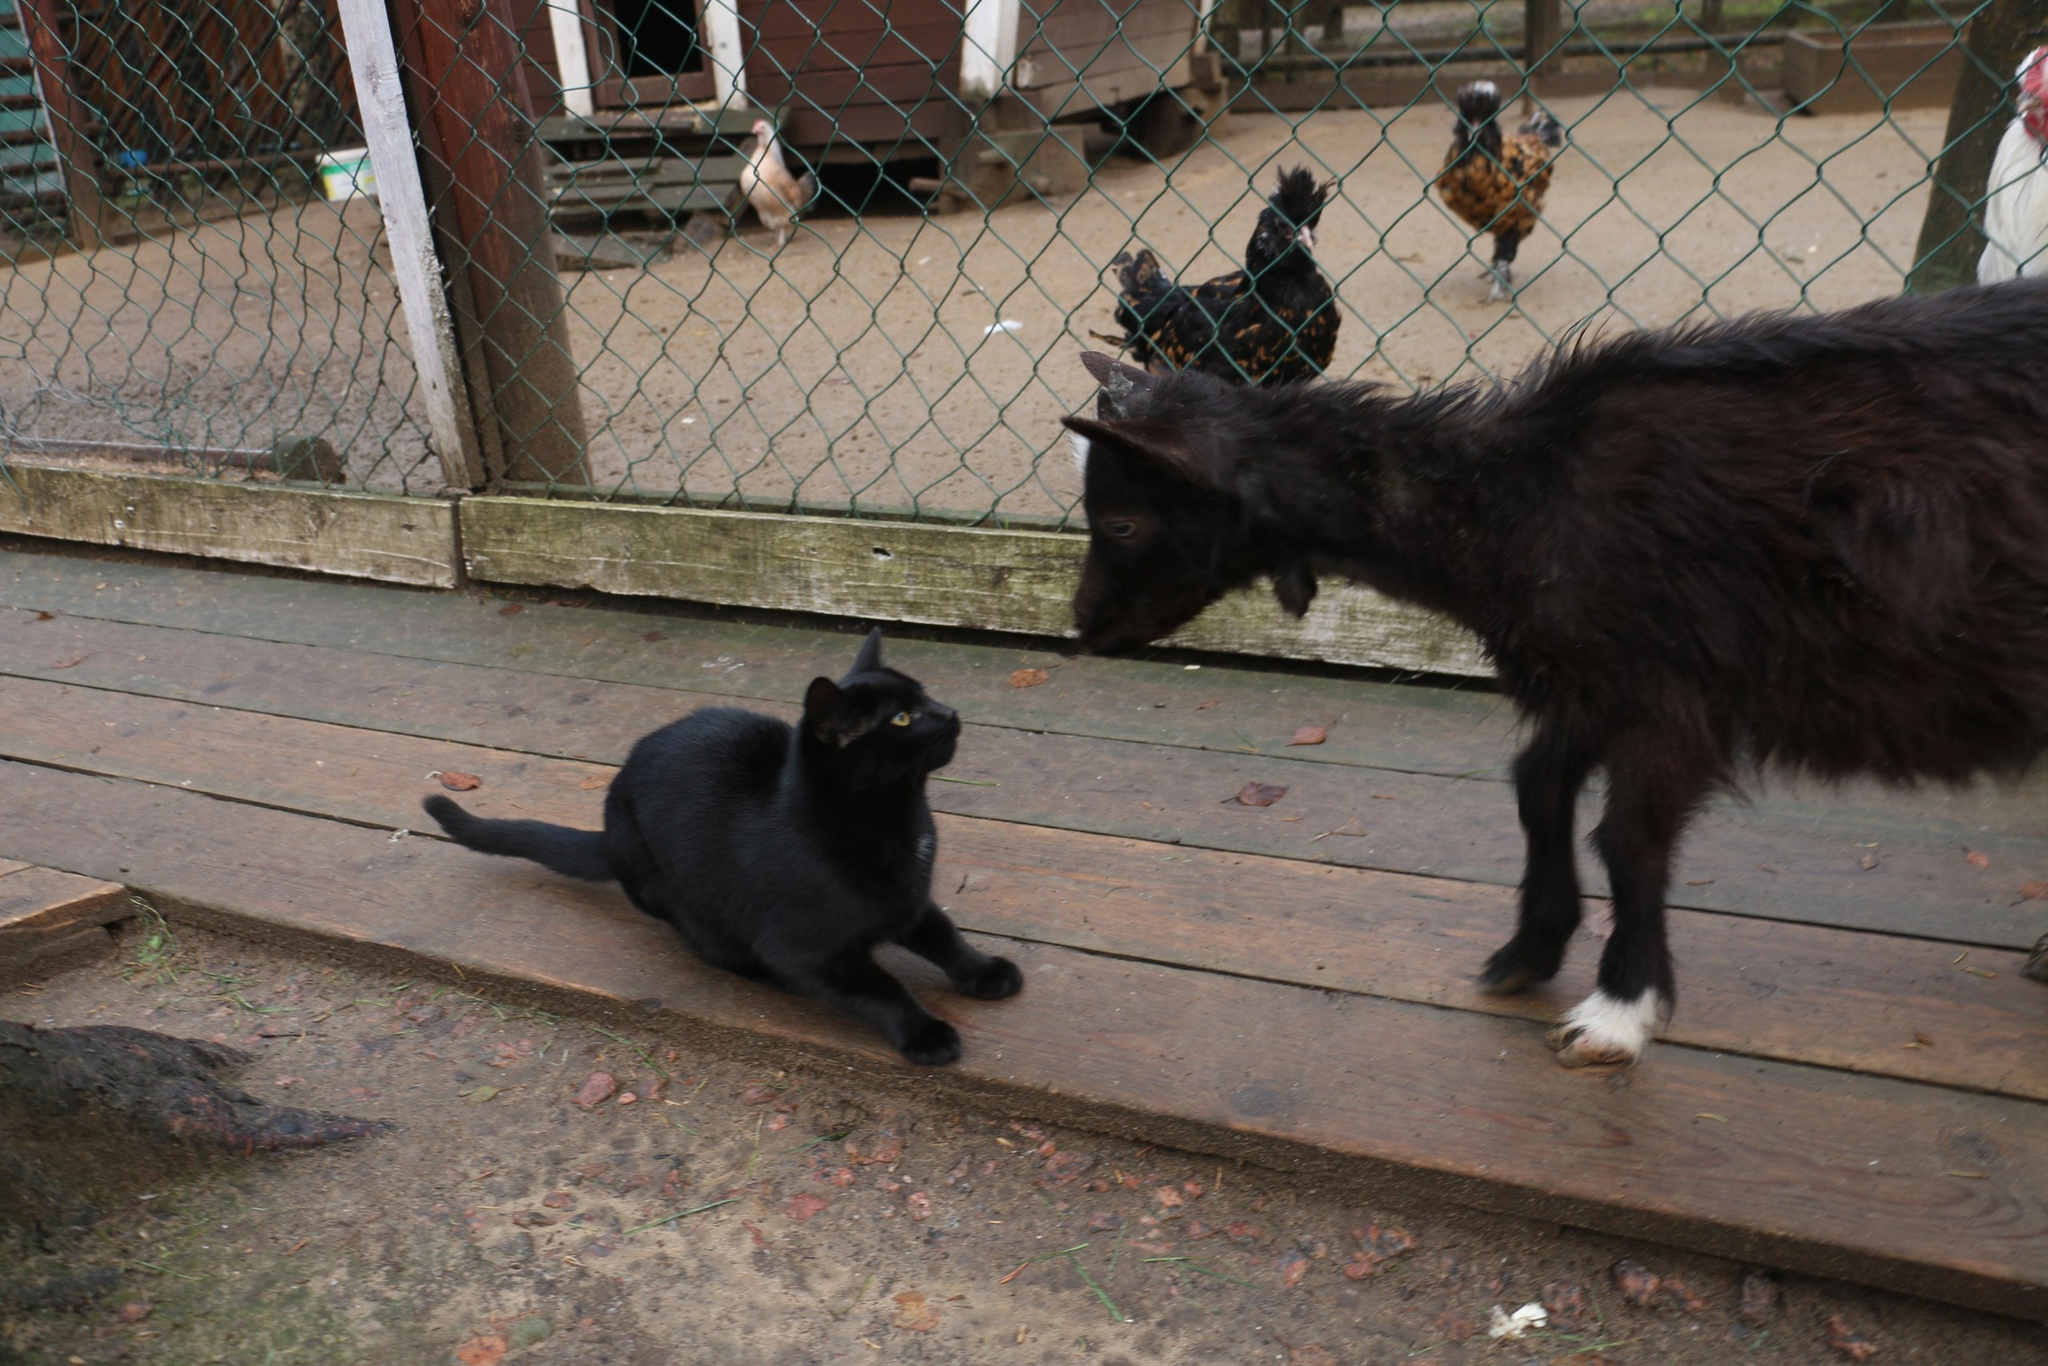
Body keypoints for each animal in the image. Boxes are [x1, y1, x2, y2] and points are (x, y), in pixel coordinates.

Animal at [419, 626, 1019, 1064]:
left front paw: (986, 970)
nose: (951, 714)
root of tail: (611, 835)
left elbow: (945, 935)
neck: (899, 820)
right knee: (720, 949)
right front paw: (925, 1032)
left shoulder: (907, 899)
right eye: (902, 717)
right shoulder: (811, 950)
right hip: (688, 901)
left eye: (925, 695)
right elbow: (881, 986)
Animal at [1064, 278, 2048, 1064]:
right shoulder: (1595, 677)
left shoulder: (1671, 691)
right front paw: (1529, 949)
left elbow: (1628, 839)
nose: (1083, 627)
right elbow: (1536, 783)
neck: (1517, 499)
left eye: (1122, 520)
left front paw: (1619, 1008)